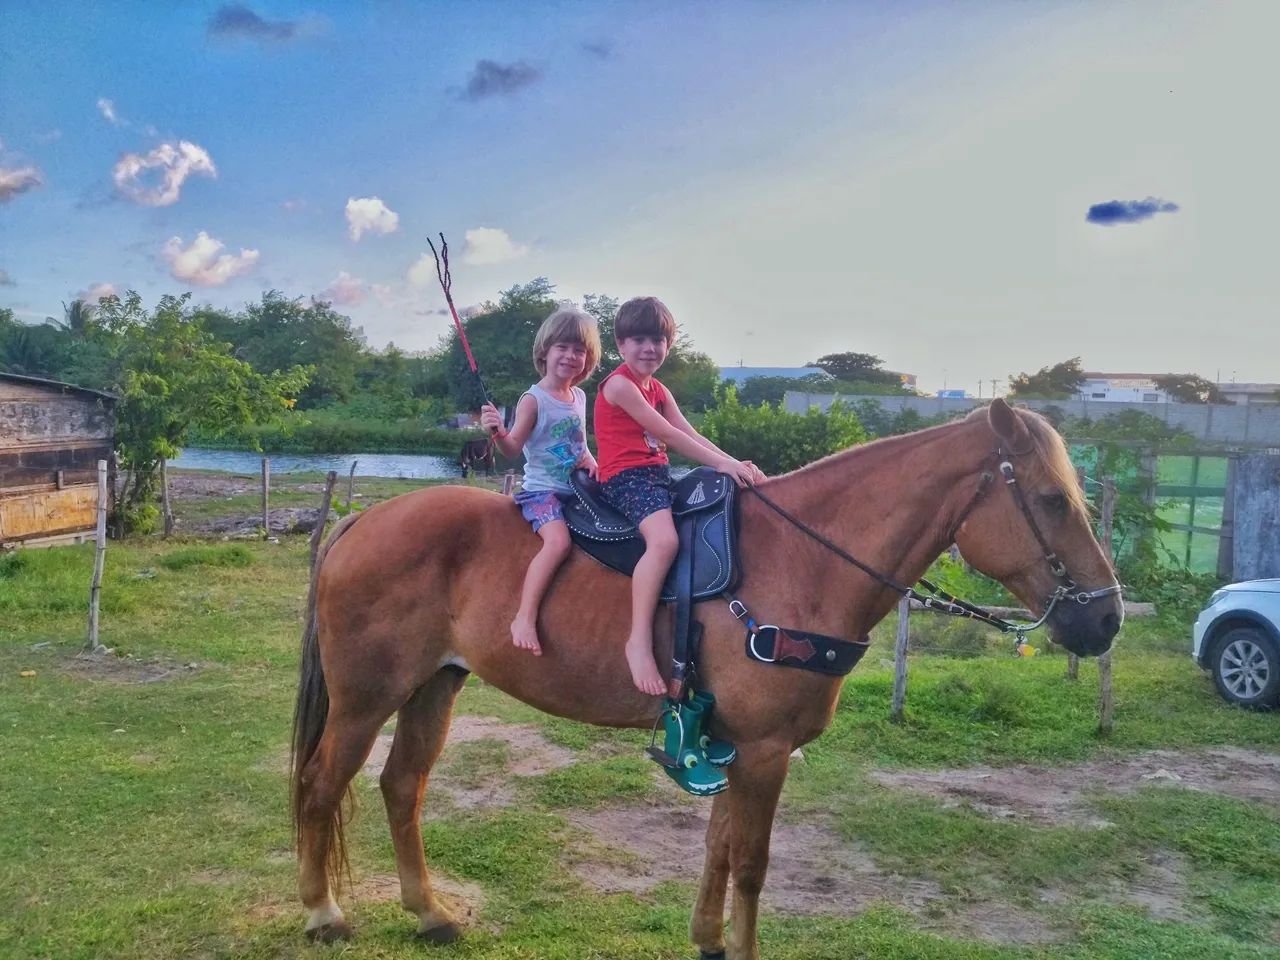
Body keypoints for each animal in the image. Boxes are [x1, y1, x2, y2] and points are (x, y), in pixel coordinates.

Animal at [290, 399, 1122, 959]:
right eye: (1051, 500)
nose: (1106, 619)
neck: (804, 561)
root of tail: (362, 522)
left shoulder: (735, 747)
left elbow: (720, 847)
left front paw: (708, 939)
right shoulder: (764, 752)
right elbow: (750, 865)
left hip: (435, 686)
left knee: (402, 786)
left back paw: (428, 912)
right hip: (366, 699)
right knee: (323, 784)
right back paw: (324, 914)